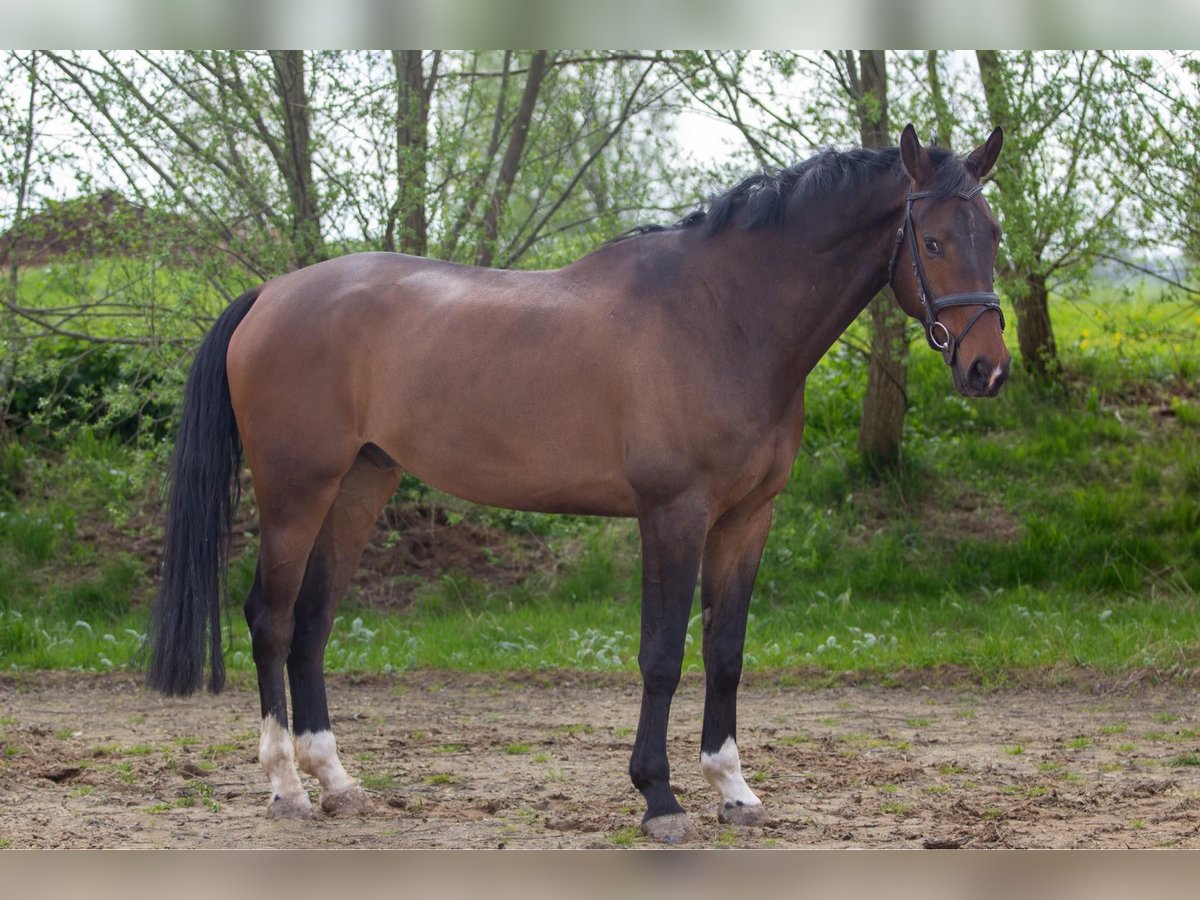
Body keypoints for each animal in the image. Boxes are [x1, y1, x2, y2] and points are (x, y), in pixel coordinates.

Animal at [147, 123, 1012, 844]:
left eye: (995, 237)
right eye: (934, 240)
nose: (988, 370)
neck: (722, 316)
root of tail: (271, 294)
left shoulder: (747, 518)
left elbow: (725, 651)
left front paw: (733, 789)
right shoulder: (673, 514)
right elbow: (662, 655)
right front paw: (659, 799)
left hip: (360, 485)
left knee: (313, 624)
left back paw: (338, 782)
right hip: (297, 491)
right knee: (271, 621)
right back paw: (287, 788)